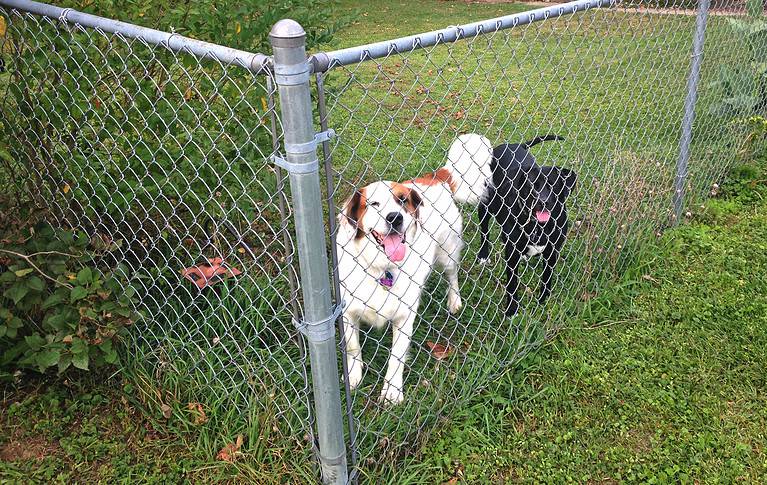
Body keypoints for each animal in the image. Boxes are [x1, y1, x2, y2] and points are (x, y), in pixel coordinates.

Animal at [336, 134, 492, 402]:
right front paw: (354, 377)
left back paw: (454, 301)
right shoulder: (348, 310)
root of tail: (436, 177)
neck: (381, 267)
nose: (394, 217)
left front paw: (392, 392)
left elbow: (396, 357)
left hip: (447, 253)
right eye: (374, 204)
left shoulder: (404, 315)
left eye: (402, 201)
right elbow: (353, 347)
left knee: (452, 276)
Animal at [476, 136, 580, 316]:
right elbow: (512, 284)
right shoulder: (512, 255)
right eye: (531, 185)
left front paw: (543, 300)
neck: (538, 225)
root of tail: (513, 145)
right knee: (484, 231)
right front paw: (512, 310)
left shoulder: (553, 250)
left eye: (553, 185)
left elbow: (547, 277)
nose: (543, 202)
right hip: (486, 204)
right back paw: (483, 255)